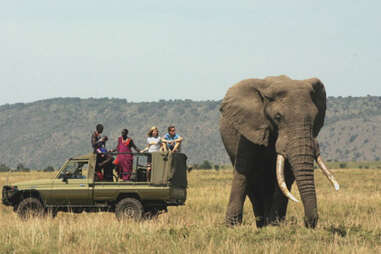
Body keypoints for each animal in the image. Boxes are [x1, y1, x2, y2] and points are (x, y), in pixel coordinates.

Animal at [220, 75, 338, 228]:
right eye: (278, 117)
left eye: (315, 117)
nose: (307, 222)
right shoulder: (248, 128)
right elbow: (244, 170)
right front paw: (232, 227)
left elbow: (285, 175)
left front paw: (275, 225)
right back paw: (261, 224)